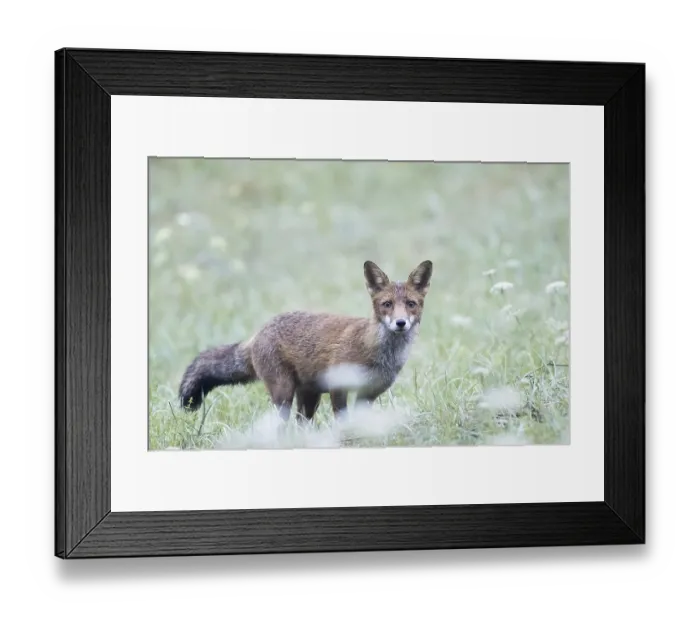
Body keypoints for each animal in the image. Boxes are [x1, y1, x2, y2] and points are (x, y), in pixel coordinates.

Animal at [178, 260, 432, 422]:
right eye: (387, 304)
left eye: (411, 304)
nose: (400, 323)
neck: (378, 352)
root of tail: (259, 332)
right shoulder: (338, 388)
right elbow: (343, 423)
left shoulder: (369, 394)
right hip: (284, 393)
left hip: (309, 398)